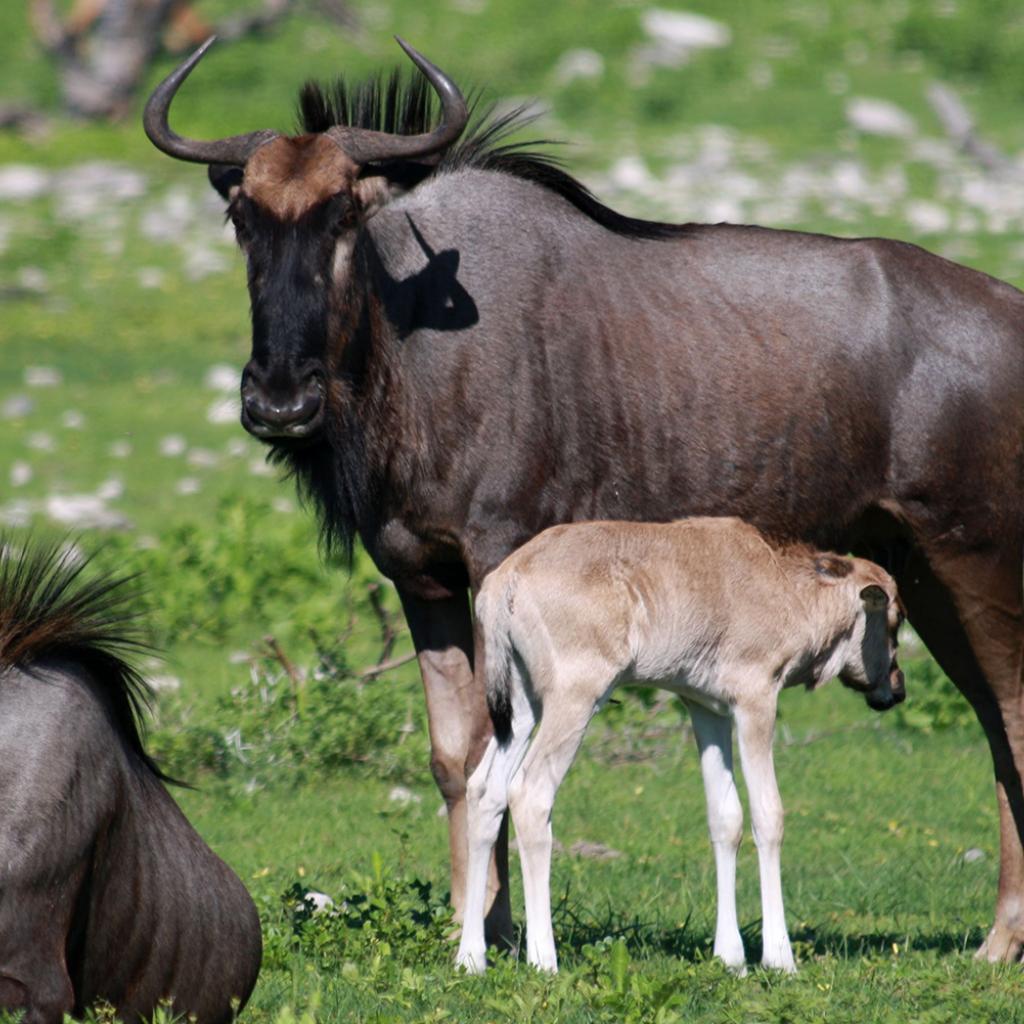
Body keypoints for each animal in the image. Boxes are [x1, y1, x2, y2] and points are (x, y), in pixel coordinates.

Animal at [456, 520, 905, 974]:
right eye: (896, 619)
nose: (896, 689)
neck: (782, 583)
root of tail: (506, 580)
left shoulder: (707, 710)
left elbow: (726, 817)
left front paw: (730, 957)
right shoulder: (756, 701)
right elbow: (768, 815)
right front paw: (779, 957)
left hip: (522, 706)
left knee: (484, 790)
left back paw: (470, 957)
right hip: (575, 699)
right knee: (530, 793)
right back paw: (544, 960)